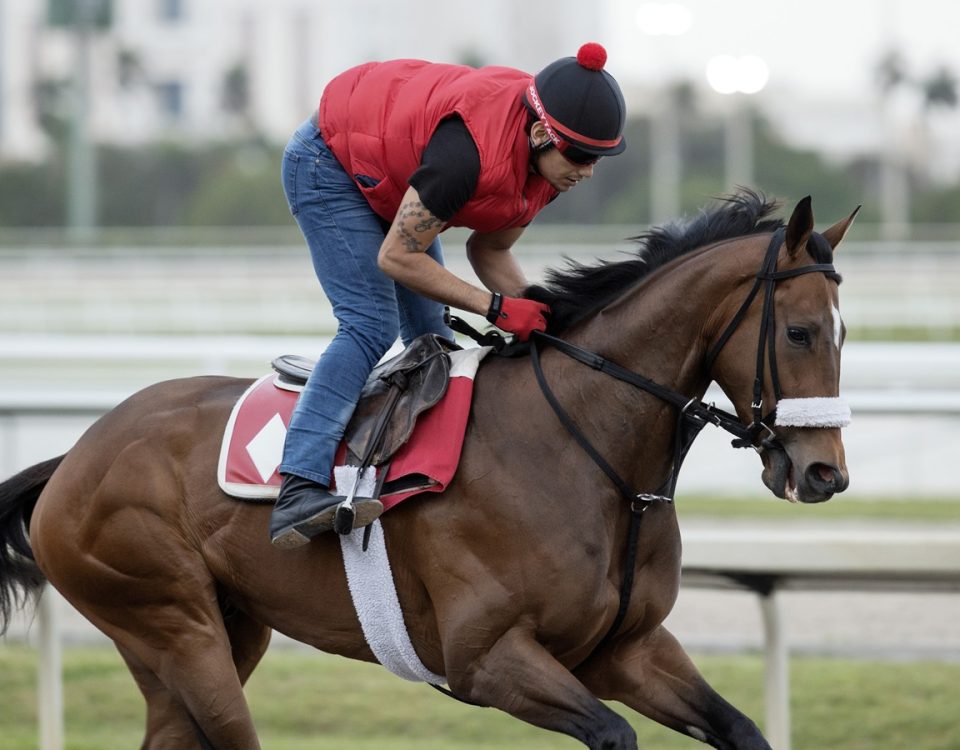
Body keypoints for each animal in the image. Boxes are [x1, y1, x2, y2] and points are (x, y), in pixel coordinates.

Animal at [0, 191, 856, 748]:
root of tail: (76, 455)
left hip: (215, 633)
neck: (586, 451)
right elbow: (613, 733)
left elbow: (742, 729)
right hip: (172, 623)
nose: (825, 474)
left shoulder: (628, 650)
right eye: (802, 332)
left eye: (845, 333)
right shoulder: (486, 660)